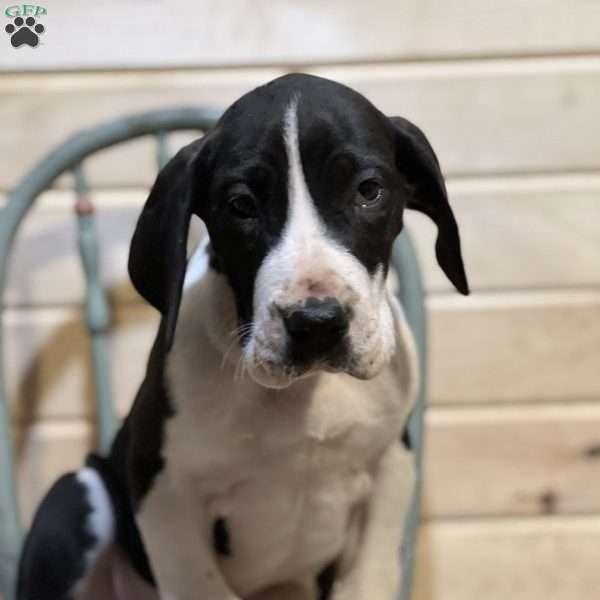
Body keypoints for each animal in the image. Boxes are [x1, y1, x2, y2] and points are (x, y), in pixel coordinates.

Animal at [16, 74, 468, 600]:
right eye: (241, 206)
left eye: (369, 191)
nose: (316, 322)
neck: (303, 396)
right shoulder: (163, 489)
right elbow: (202, 583)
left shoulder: (390, 472)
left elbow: (367, 581)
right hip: (75, 496)